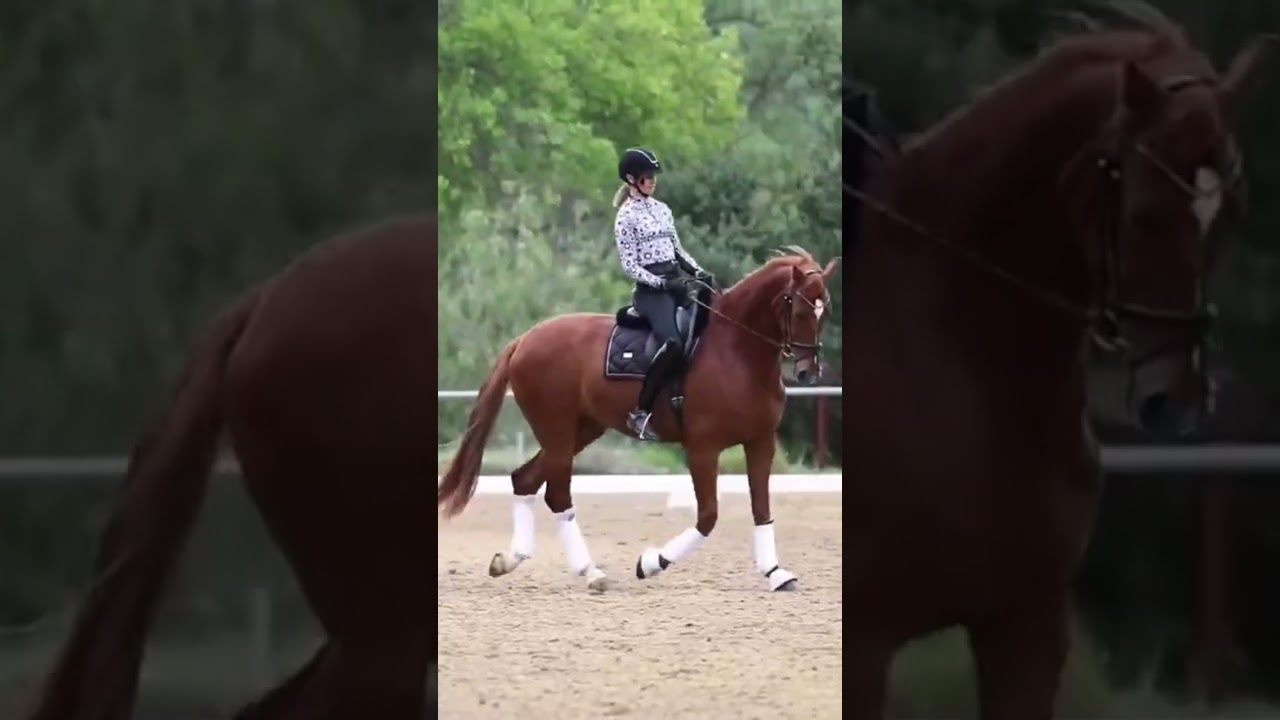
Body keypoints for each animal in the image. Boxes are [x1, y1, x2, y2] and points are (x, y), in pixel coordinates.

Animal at [437, 247, 839, 593]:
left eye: (825, 310)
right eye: (799, 308)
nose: (808, 372)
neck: (737, 352)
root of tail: (524, 340)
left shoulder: (760, 442)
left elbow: (761, 509)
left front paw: (776, 573)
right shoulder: (703, 449)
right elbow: (708, 517)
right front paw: (651, 563)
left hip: (581, 430)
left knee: (525, 480)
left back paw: (510, 560)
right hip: (558, 433)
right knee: (556, 494)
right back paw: (592, 573)